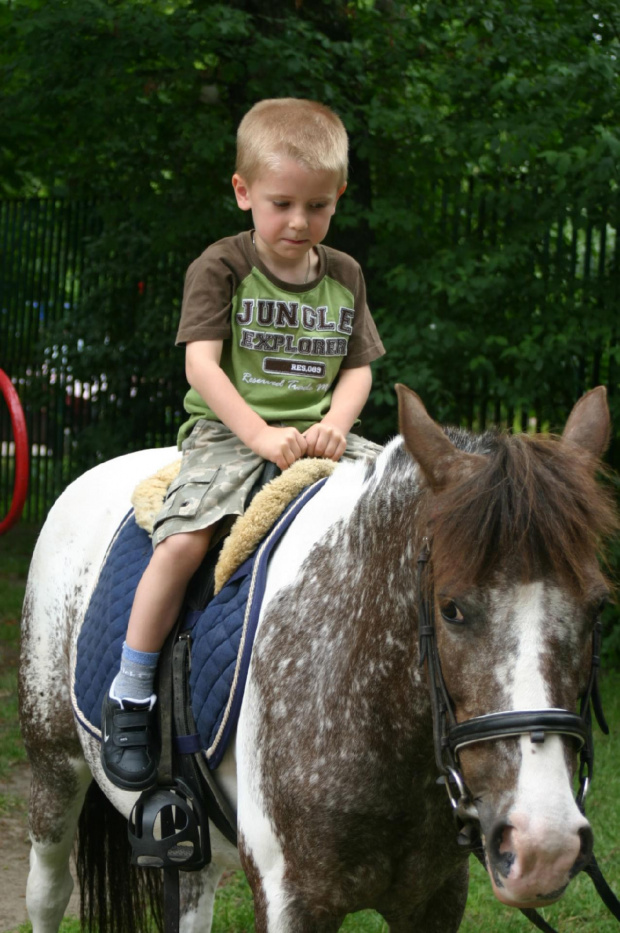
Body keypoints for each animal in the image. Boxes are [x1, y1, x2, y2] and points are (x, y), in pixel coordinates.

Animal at [18, 386, 616, 932]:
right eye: (451, 609)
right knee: (47, 891)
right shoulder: (291, 898)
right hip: (52, 766)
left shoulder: (437, 897)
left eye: (598, 607)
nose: (543, 848)